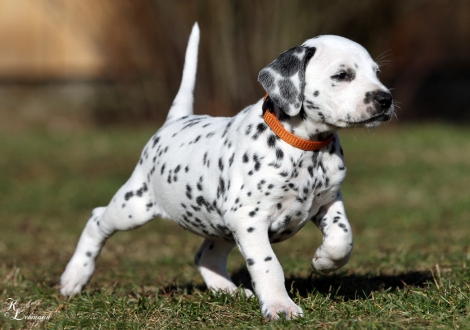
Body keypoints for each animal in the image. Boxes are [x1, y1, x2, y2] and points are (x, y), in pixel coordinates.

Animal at [60, 23, 394, 320]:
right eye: (342, 75)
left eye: (376, 73)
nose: (385, 99)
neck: (304, 146)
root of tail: (175, 120)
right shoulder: (250, 219)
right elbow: (268, 264)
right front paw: (280, 306)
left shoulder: (328, 200)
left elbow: (342, 237)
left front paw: (324, 261)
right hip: (136, 205)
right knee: (97, 220)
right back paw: (74, 277)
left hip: (220, 223)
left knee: (205, 256)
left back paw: (229, 292)